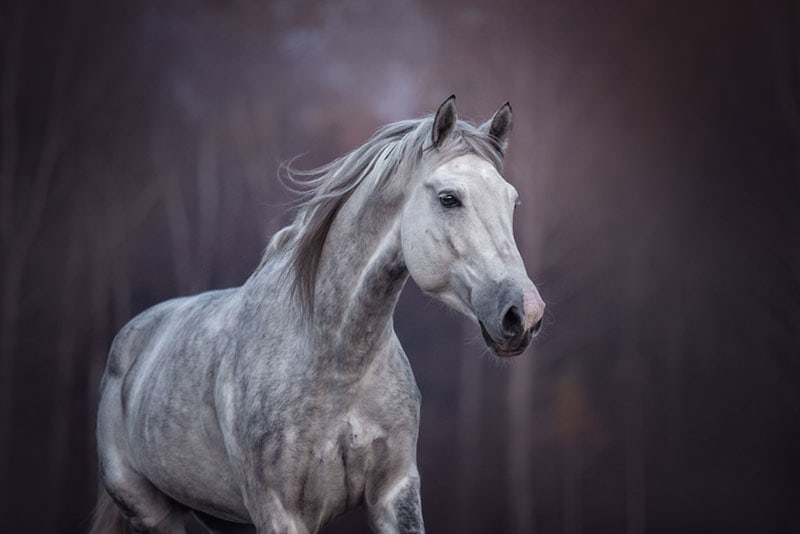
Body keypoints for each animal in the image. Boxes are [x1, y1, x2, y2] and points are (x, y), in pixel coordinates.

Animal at [90, 97, 548, 534]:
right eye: (449, 198)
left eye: (512, 201)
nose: (523, 314)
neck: (336, 362)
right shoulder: (281, 511)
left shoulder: (395, 492)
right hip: (154, 513)